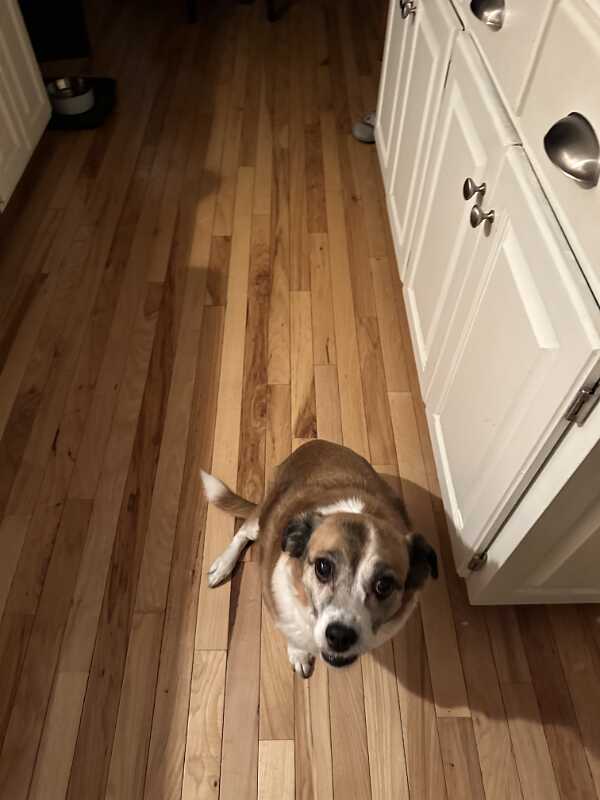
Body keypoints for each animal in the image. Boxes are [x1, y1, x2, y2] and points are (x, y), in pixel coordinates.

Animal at [201, 439, 438, 677]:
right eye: (323, 568)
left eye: (384, 585)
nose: (340, 636)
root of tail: (314, 442)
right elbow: (294, 635)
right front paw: (299, 653)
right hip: (260, 519)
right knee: (243, 530)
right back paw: (223, 565)